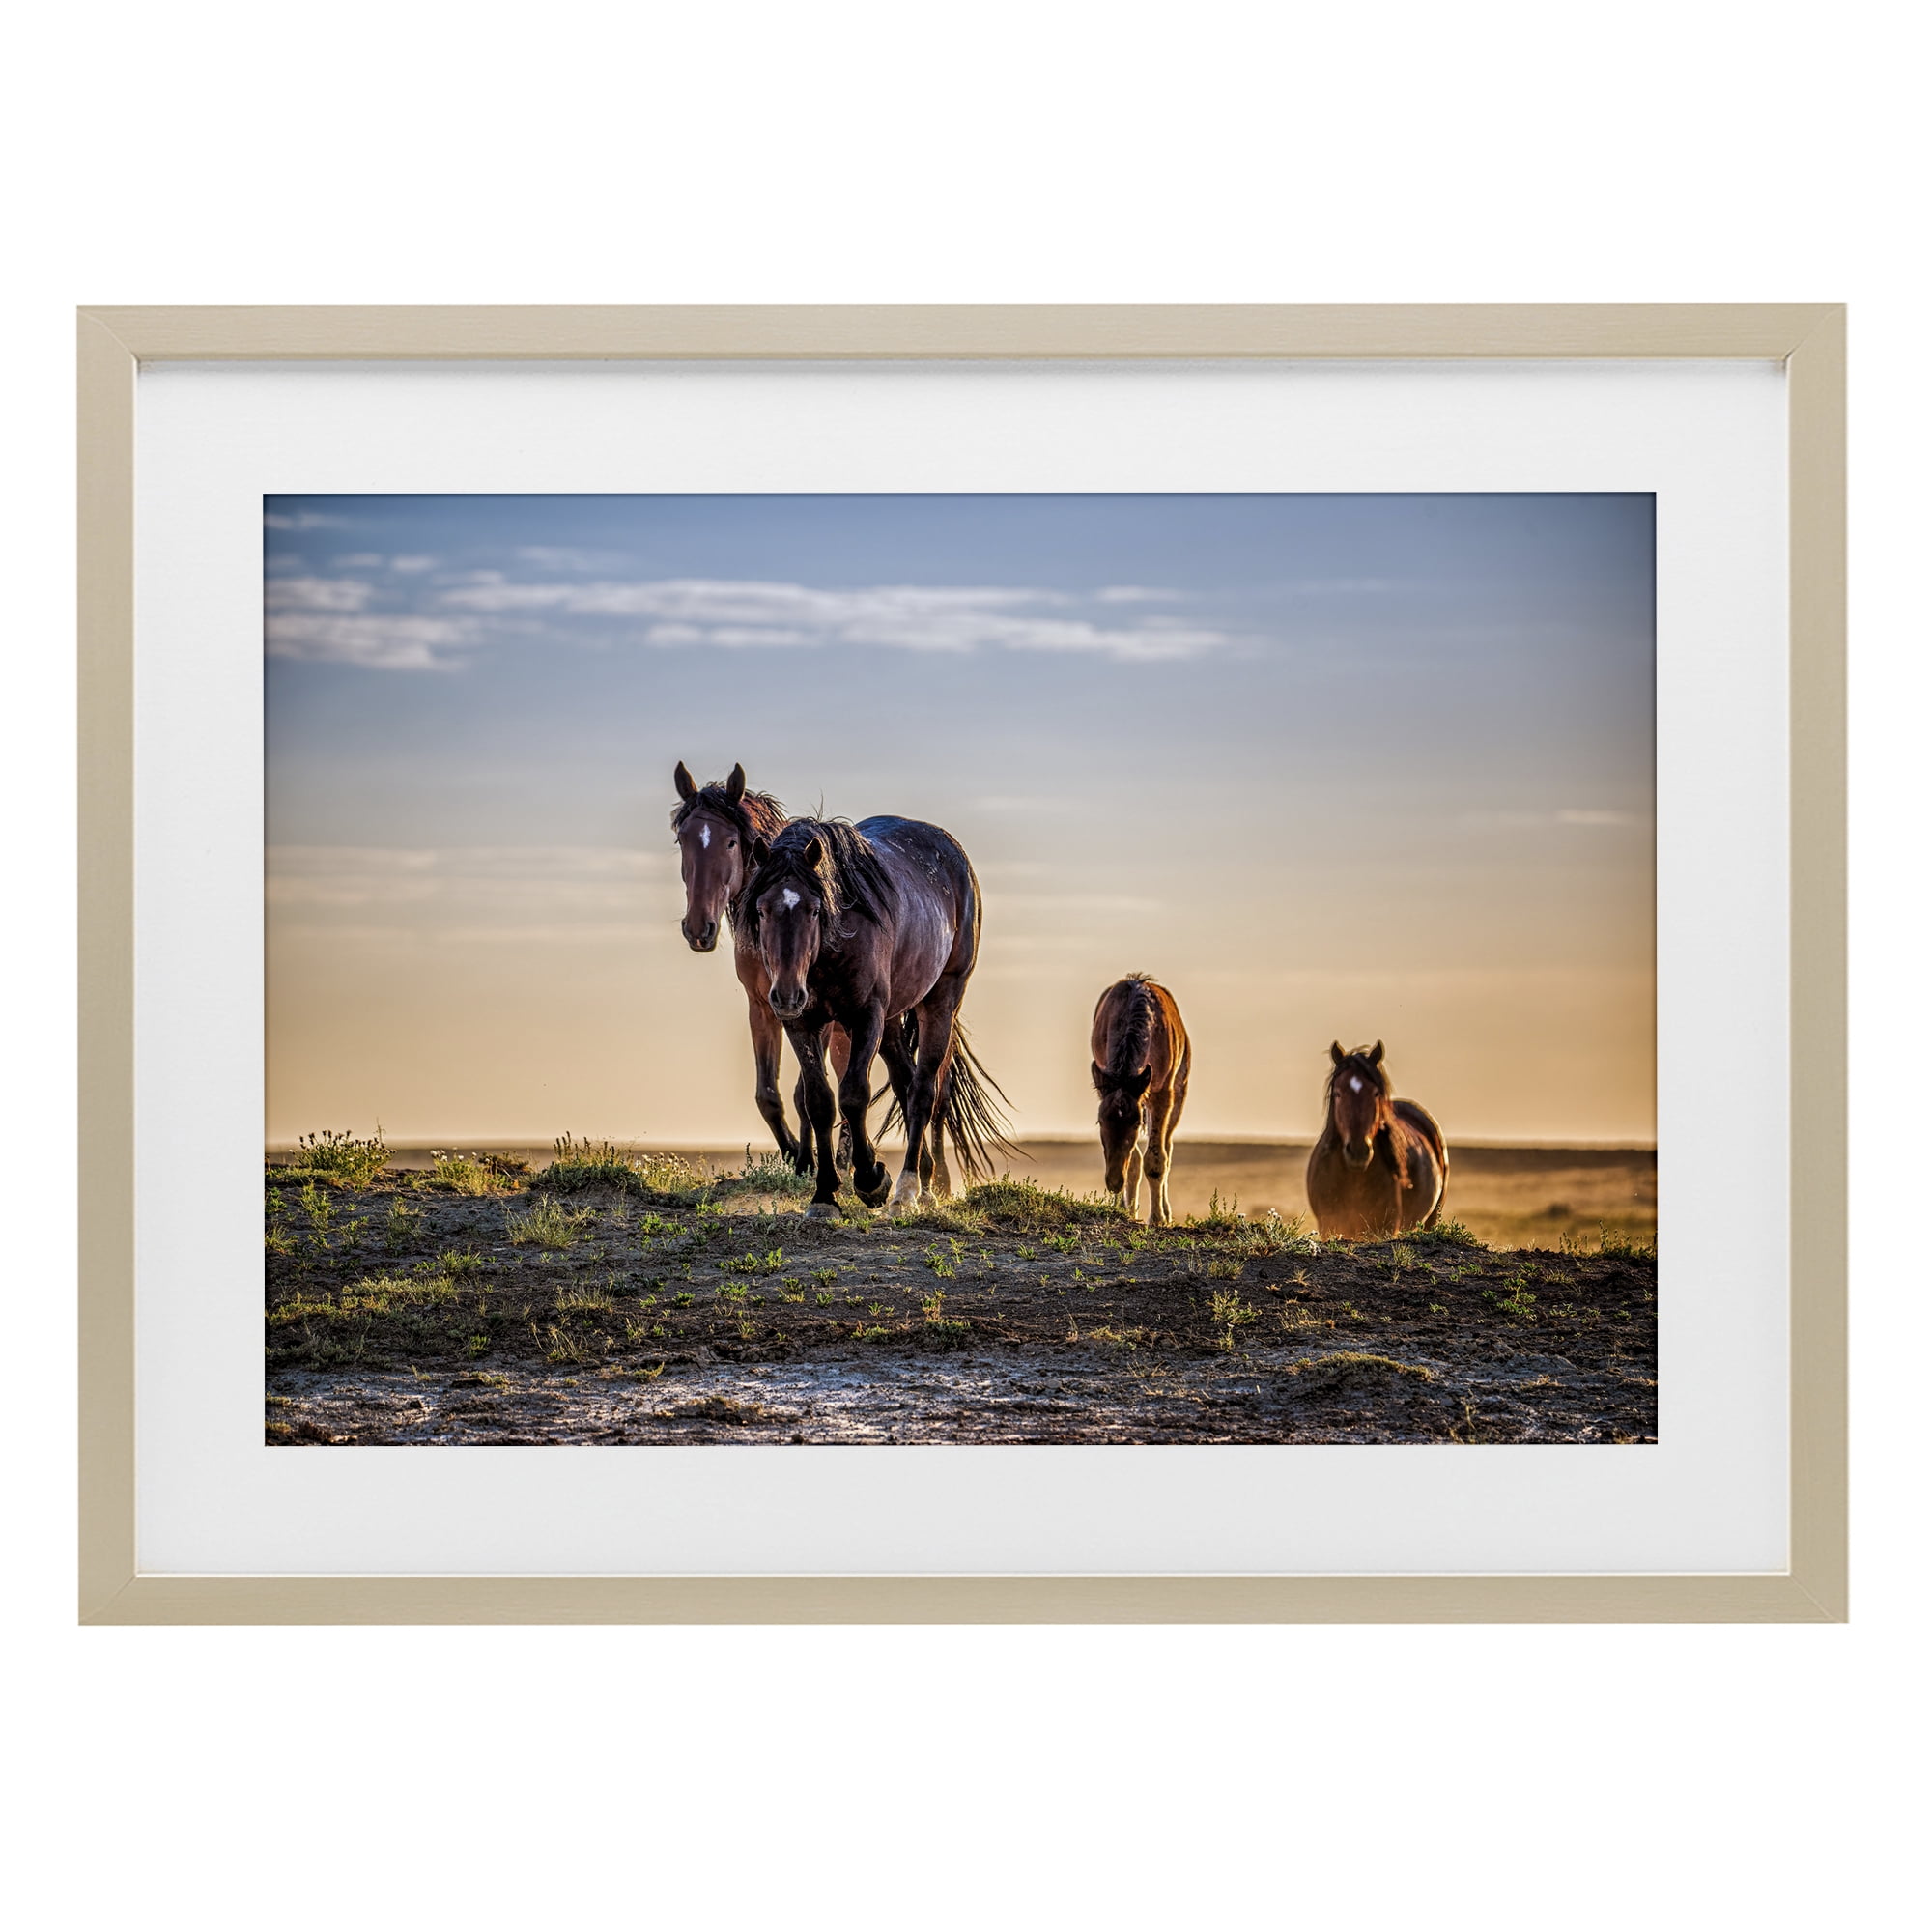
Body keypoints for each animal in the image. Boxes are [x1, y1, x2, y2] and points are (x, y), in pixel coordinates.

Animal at [670, 761, 851, 1174]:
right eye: (682, 841)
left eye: (731, 842)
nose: (698, 928)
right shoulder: (762, 1006)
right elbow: (769, 1094)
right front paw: (796, 1157)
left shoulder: (811, 1012)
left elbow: (804, 1093)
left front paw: (810, 1160)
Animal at [743, 815, 1019, 1218]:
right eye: (762, 910)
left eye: (814, 909)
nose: (787, 994)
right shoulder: (802, 1024)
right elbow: (819, 1101)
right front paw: (824, 1196)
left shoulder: (865, 1017)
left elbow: (854, 1094)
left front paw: (871, 1180)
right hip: (890, 1023)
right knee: (905, 1084)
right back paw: (923, 1182)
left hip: (941, 1000)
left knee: (923, 1091)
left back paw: (907, 1191)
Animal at [1090, 973, 1190, 1226]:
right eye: (1100, 1122)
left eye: (1135, 1123)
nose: (1114, 1181)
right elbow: (1134, 1159)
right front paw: (1123, 1208)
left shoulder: (1162, 1092)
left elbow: (1156, 1159)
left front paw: (1157, 1218)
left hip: (1179, 1093)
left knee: (1167, 1148)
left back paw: (1166, 1212)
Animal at [1304, 1041, 1448, 1240]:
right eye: (1338, 1093)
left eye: (1375, 1093)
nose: (1358, 1151)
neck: (1354, 1179)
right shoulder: (1328, 1225)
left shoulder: (1384, 1228)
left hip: (1432, 1217)